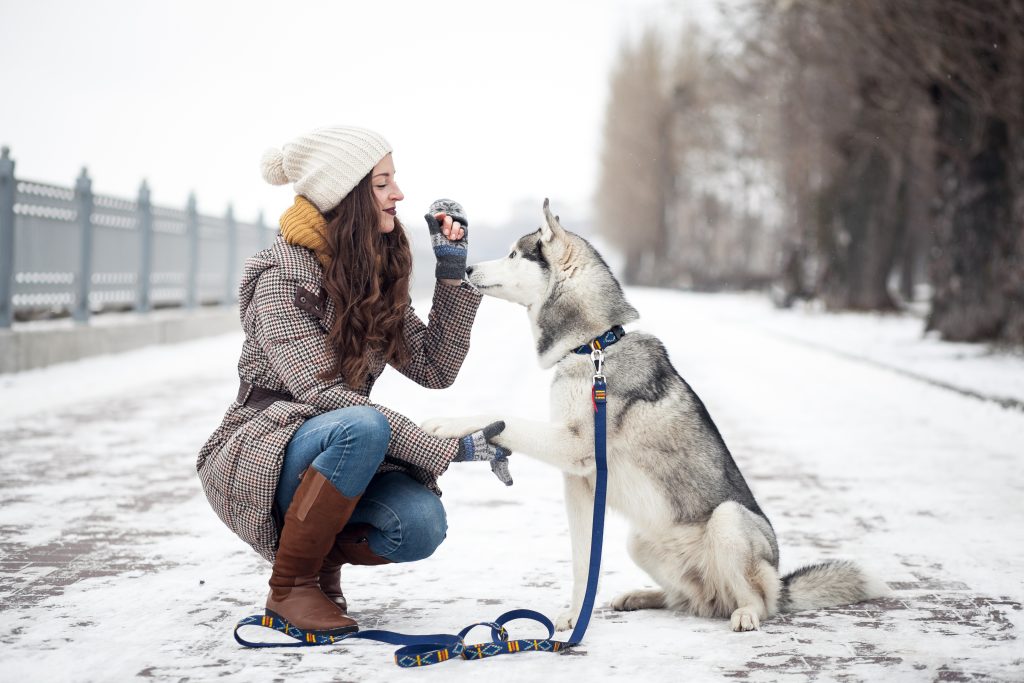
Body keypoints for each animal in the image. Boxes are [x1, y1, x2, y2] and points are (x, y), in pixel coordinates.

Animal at [419, 201, 884, 630]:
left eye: (515, 253)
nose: (469, 268)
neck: (593, 347)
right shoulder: (579, 481)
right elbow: (581, 561)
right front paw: (575, 615)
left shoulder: (574, 446)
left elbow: (503, 417)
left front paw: (444, 422)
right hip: (638, 542)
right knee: (689, 600)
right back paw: (643, 596)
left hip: (729, 520)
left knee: (755, 600)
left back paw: (746, 614)